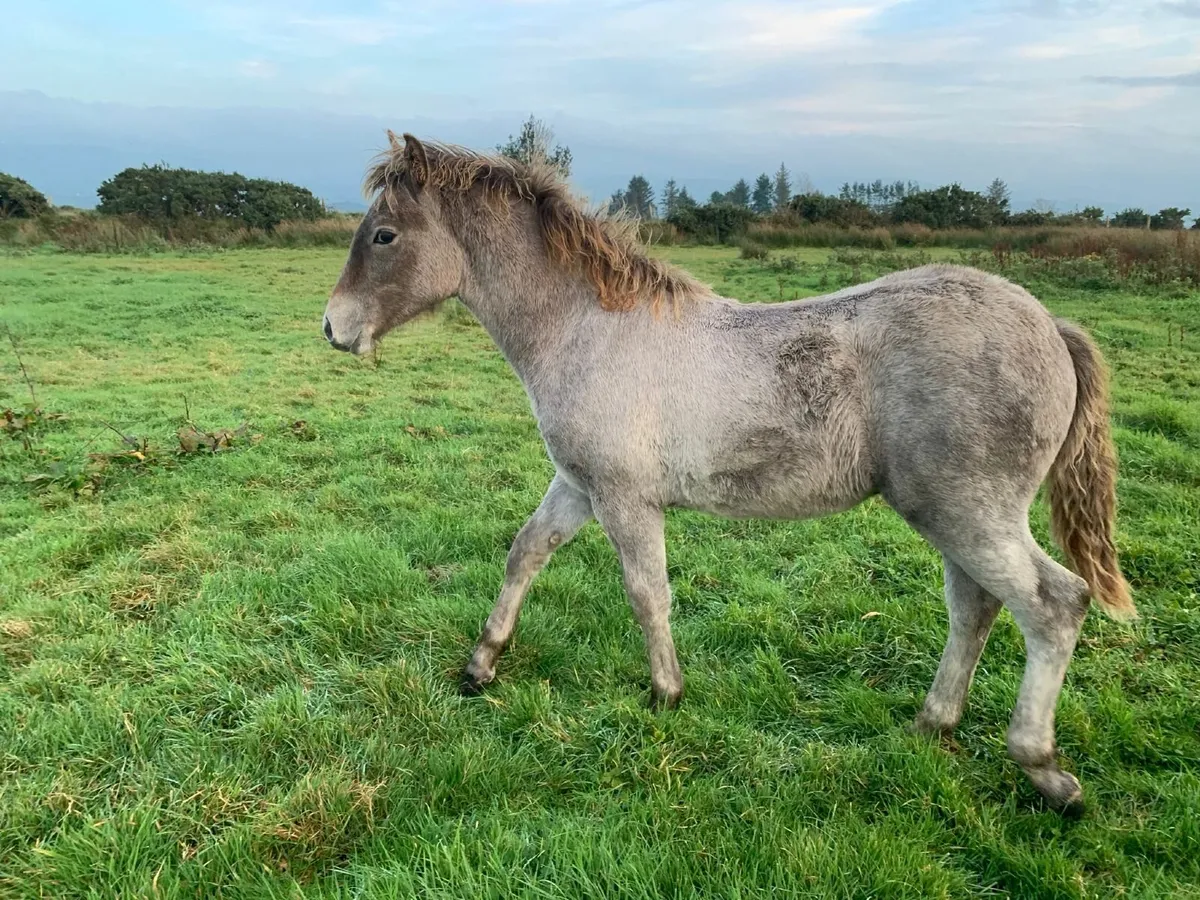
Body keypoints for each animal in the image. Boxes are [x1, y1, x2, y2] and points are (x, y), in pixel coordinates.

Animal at [322, 132, 1135, 815]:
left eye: (384, 235)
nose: (333, 328)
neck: (589, 330)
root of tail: (1050, 326)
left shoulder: (624, 498)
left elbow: (647, 593)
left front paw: (666, 694)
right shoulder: (579, 486)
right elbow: (526, 552)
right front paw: (481, 666)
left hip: (968, 512)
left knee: (1053, 604)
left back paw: (1043, 770)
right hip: (956, 517)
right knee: (976, 606)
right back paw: (930, 727)